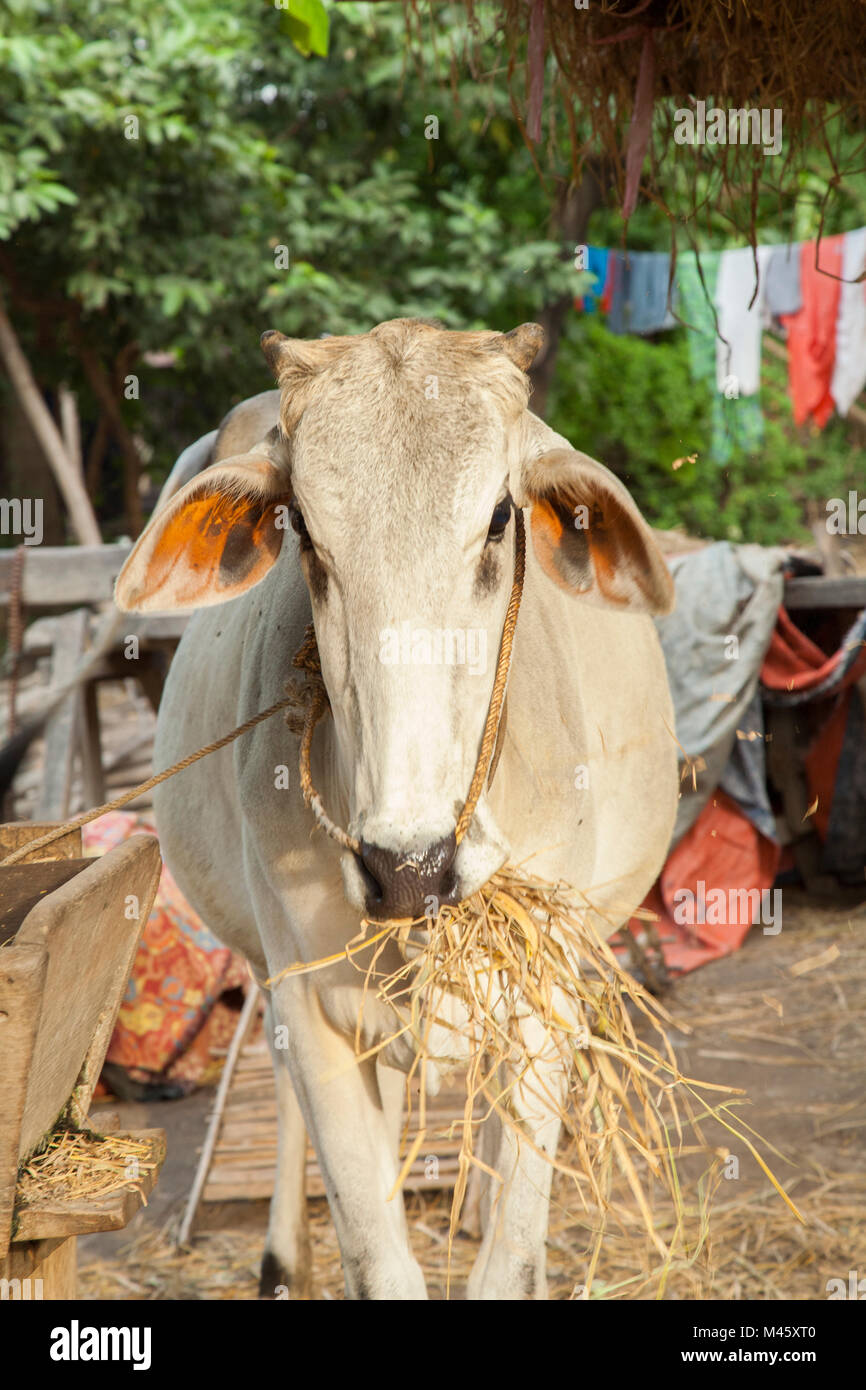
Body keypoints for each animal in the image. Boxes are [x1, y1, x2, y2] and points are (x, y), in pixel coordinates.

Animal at [116, 319, 678, 1295]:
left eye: (500, 517)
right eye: (302, 528)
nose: (408, 867)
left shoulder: (545, 1003)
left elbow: (507, 1256)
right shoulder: (313, 1004)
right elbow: (378, 1255)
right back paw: (280, 1258)